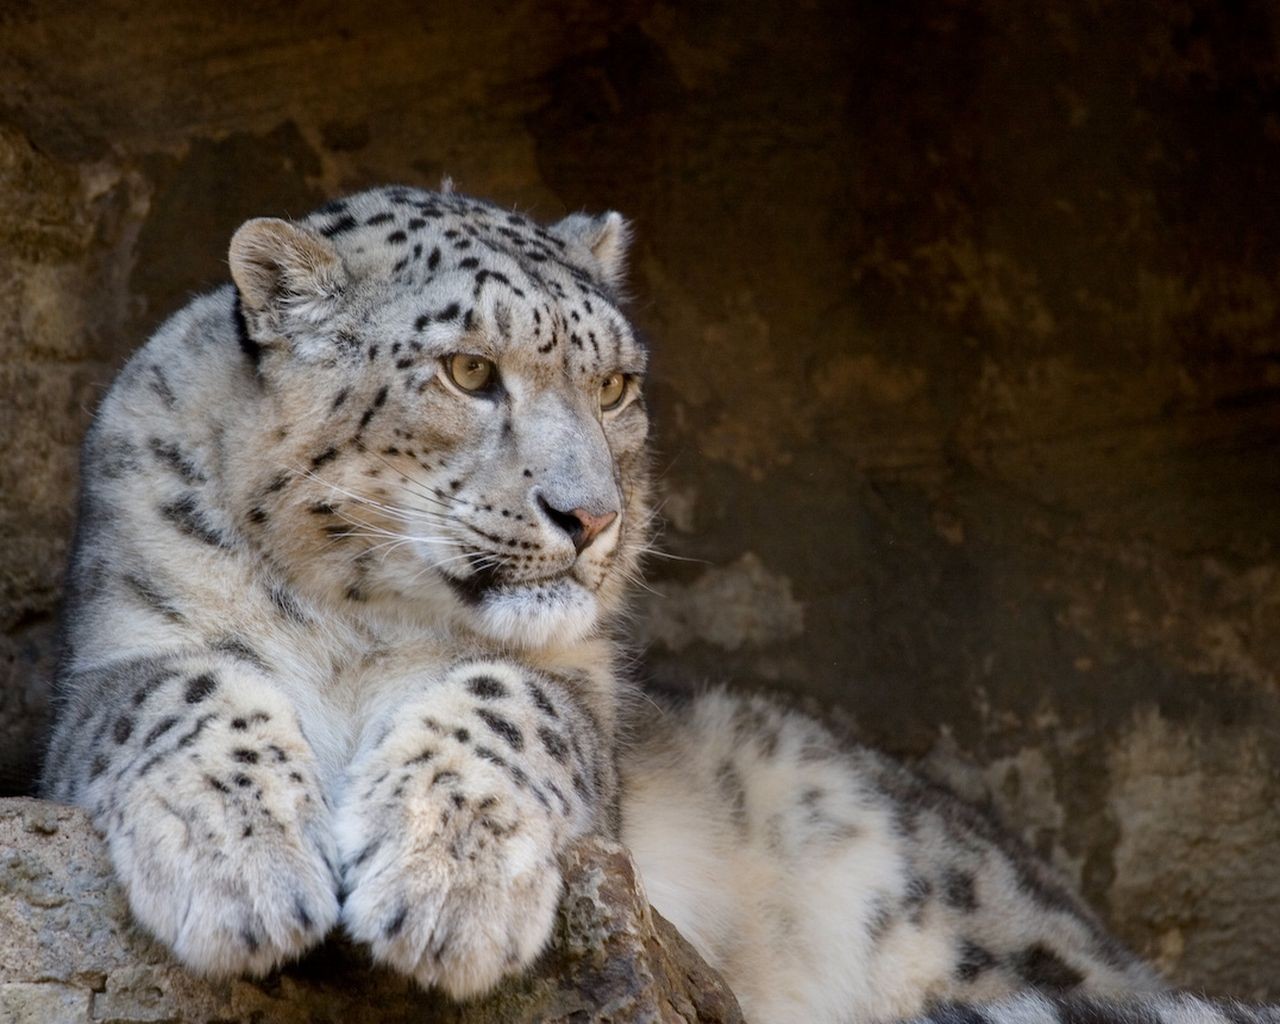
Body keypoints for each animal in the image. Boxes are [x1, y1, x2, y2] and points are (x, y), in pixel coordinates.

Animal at [40, 184, 1278, 1024]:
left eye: (614, 385)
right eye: (467, 371)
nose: (589, 515)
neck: (360, 627)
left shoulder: (574, 698)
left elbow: (502, 697)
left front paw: (446, 895)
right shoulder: (106, 667)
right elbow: (184, 688)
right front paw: (236, 867)